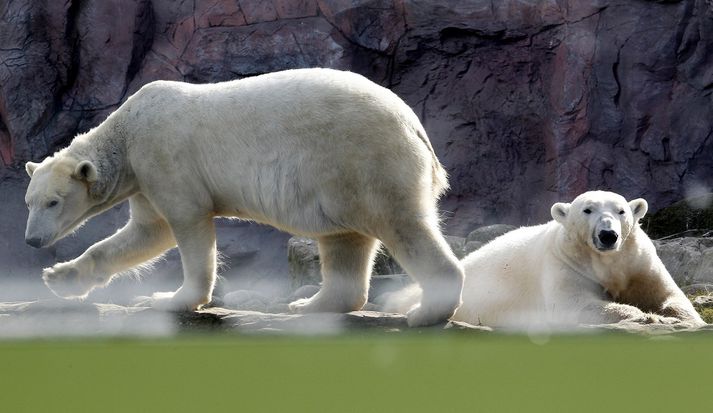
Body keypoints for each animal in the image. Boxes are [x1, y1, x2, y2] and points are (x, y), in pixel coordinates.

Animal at [23, 67, 462, 326]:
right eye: (30, 202)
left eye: (53, 202)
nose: (31, 240)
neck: (128, 131)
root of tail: (413, 124)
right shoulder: (144, 177)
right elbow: (147, 232)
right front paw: (60, 277)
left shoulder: (163, 157)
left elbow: (187, 224)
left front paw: (172, 299)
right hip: (340, 181)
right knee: (344, 239)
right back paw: (308, 305)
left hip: (364, 158)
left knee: (400, 224)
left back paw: (426, 311)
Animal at [382, 192, 704, 330]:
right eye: (587, 210)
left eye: (621, 210)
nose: (608, 235)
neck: (606, 261)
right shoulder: (565, 264)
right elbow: (576, 304)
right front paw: (648, 317)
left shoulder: (637, 262)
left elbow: (668, 295)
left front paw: (681, 318)